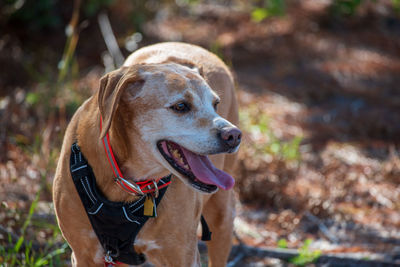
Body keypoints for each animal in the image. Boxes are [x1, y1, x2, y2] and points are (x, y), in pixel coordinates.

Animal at [53, 43, 241, 266]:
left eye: (215, 104)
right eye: (180, 106)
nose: (234, 135)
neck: (127, 184)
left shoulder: (182, 255)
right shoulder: (83, 254)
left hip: (222, 216)